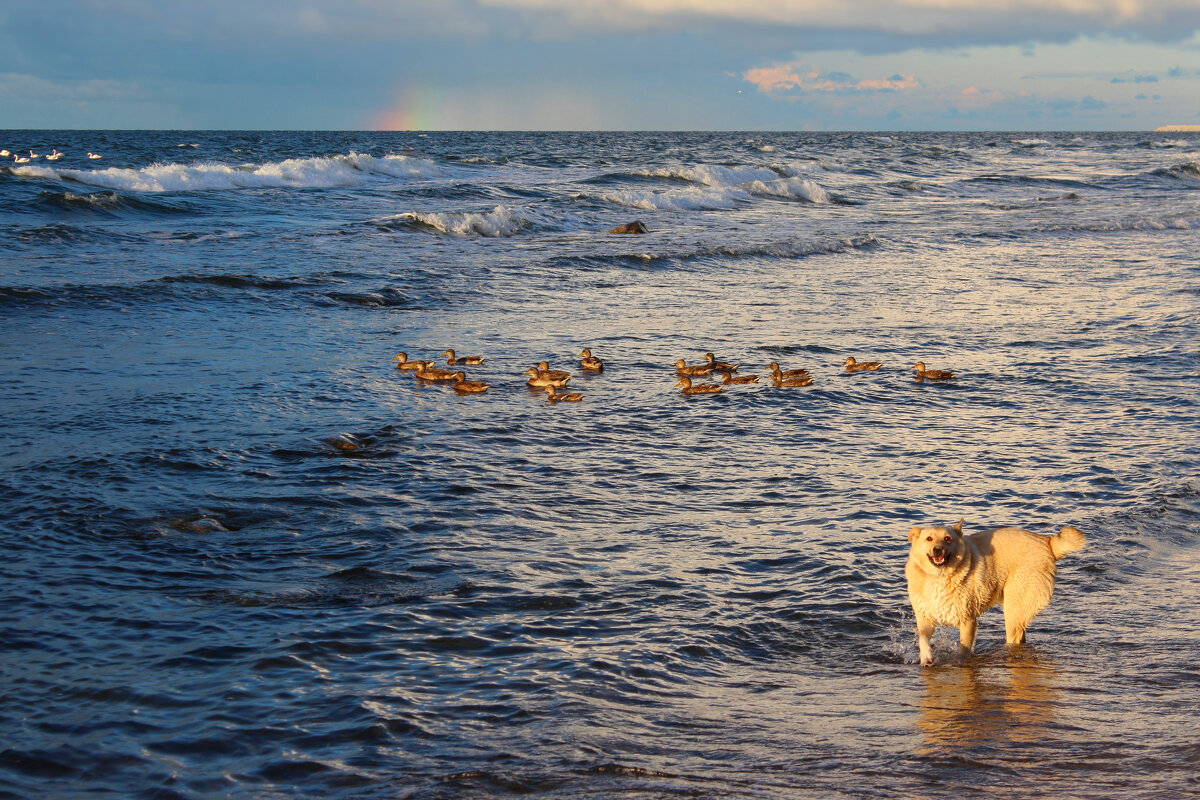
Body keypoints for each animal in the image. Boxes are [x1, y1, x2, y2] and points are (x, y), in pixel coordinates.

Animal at [902, 522, 1084, 666]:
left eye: (947, 539)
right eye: (929, 539)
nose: (938, 549)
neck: (938, 576)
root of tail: (1046, 541)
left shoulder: (968, 620)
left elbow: (963, 649)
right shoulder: (925, 616)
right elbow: (922, 638)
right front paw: (926, 657)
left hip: (1014, 608)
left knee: (1014, 636)